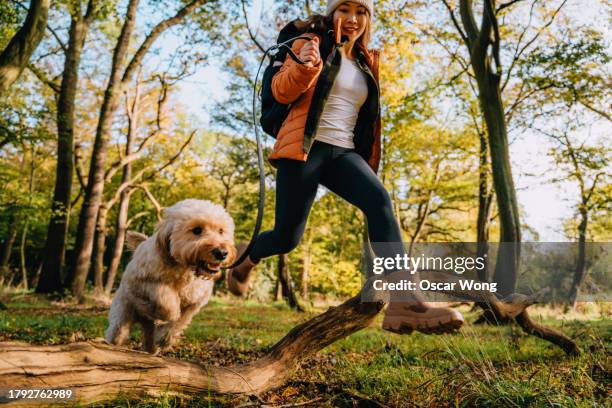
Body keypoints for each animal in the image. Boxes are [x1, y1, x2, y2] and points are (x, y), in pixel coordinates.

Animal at [104, 200, 235, 354]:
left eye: (221, 231)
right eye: (197, 230)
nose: (222, 252)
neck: (185, 268)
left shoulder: (194, 303)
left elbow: (180, 320)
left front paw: (165, 338)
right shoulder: (141, 282)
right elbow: (167, 300)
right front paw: (164, 318)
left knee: (148, 338)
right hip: (122, 314)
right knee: (117, 332)